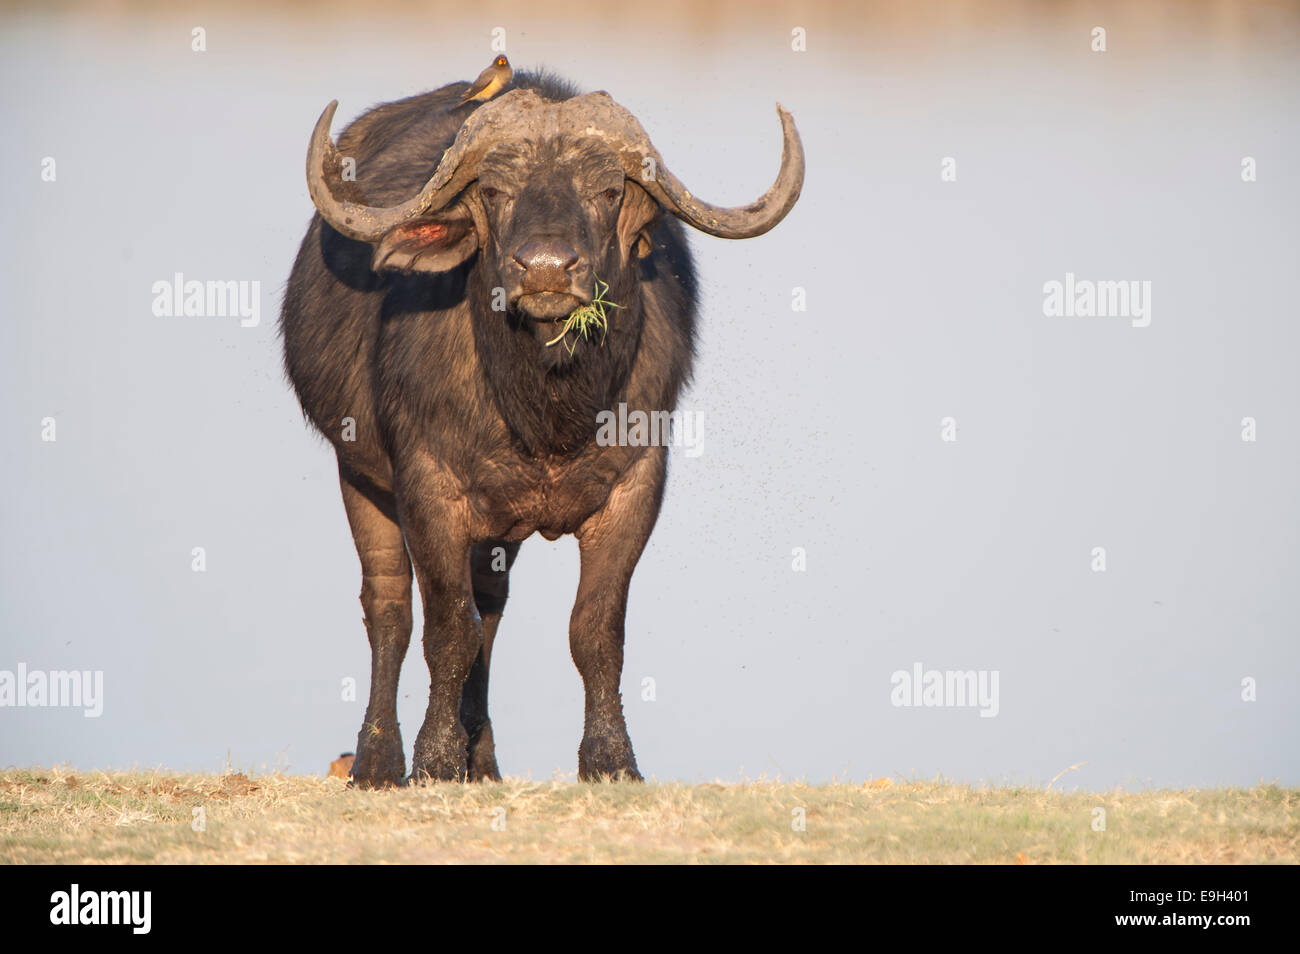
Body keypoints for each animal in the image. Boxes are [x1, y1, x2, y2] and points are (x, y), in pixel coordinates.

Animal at [282, 65, 800, 785]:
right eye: (494, 192)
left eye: (608, 190)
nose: (548, 269)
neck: (545, 410)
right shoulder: (427, 488)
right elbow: (447, 629)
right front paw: (435, 761)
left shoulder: (635, 489)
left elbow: (594, 630)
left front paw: (610, 761)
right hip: (358, 475)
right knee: (389, 609)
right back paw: (378, 760)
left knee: (490, 610)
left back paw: (485, 761)